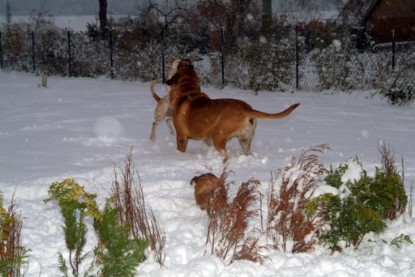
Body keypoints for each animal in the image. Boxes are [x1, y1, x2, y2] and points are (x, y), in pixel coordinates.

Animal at [167, 59, 302, 161]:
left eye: (179, 64)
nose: (182, 59)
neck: (188, 89)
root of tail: (247, 109)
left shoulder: (181, 136)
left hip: (218, 135)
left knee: (225, 156)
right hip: (245, 140)